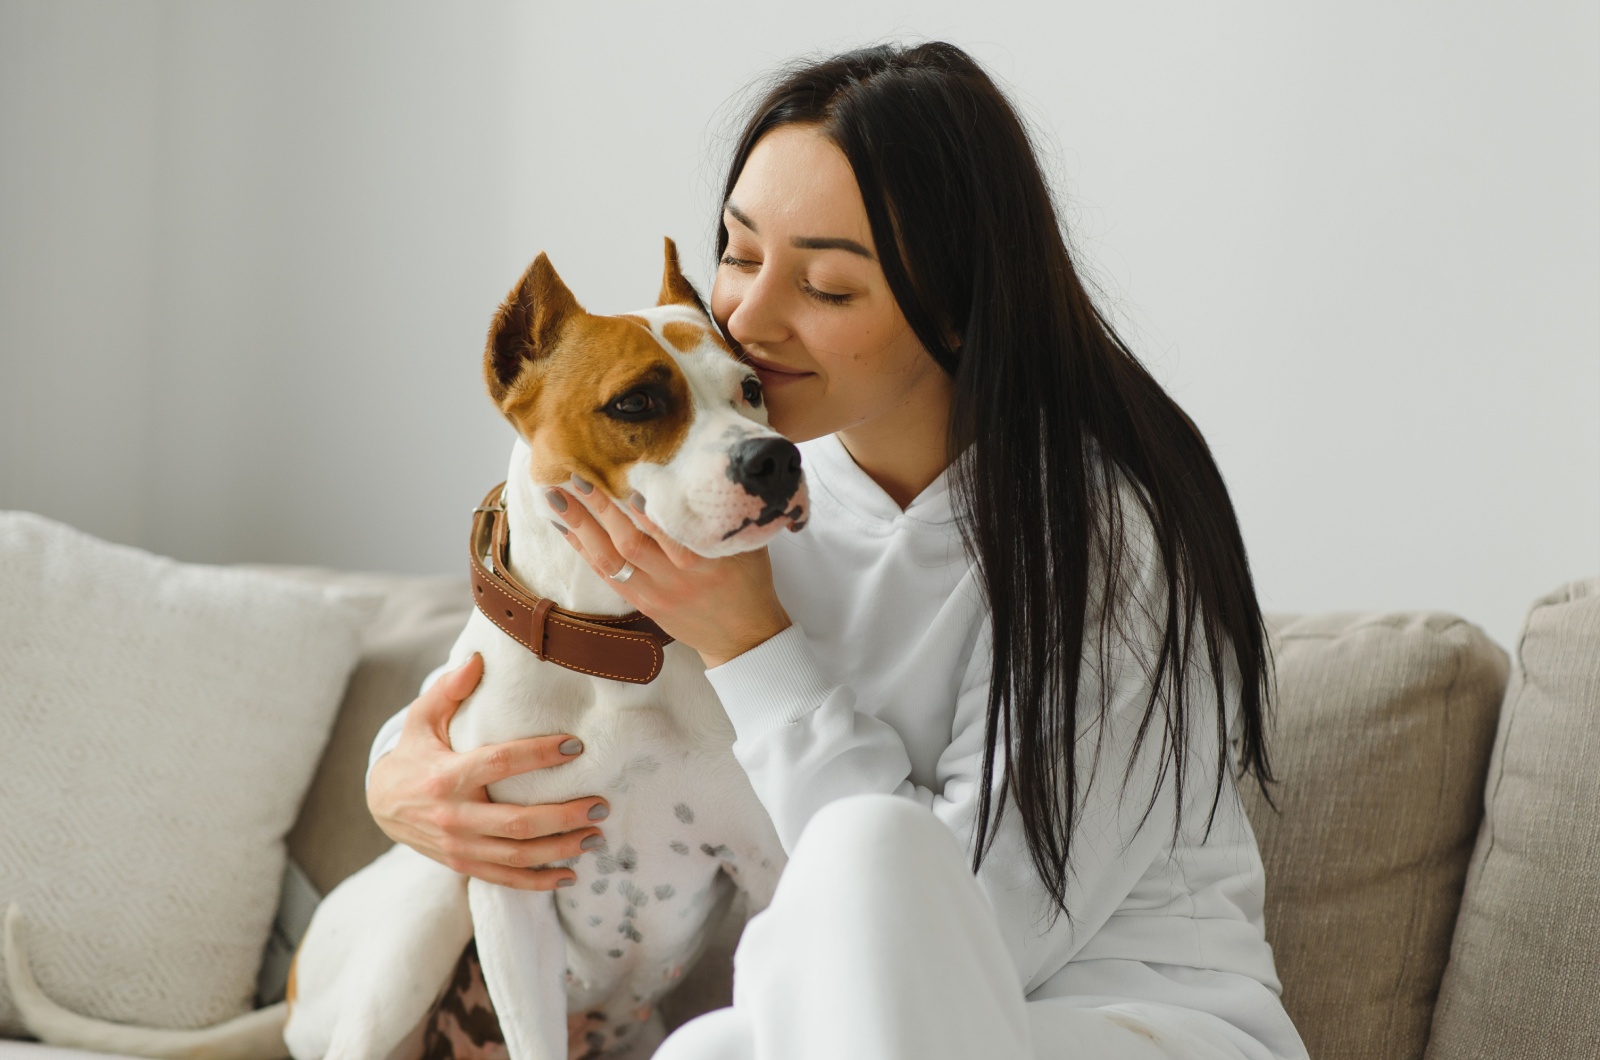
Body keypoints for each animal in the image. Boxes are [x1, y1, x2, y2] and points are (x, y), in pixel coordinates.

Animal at [0, 240, 800, 1060]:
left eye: (750, 389)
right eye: (636, 403)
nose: (774, 460)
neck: (612, 651)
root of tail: (288, 1000)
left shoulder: (767, 865)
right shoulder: (510, 885)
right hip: (429, 896)